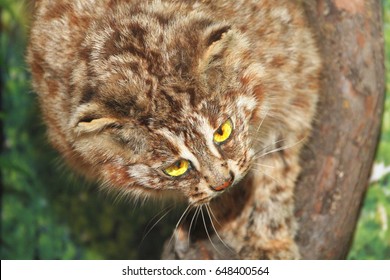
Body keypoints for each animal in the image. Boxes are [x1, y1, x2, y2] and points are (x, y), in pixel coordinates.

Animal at [26, 0, 320, 260]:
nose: (223, 182)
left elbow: (276, 170)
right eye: (176, 167)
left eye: (222, 132)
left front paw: (269, 243)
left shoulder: (297, 80)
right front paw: (233, 216)